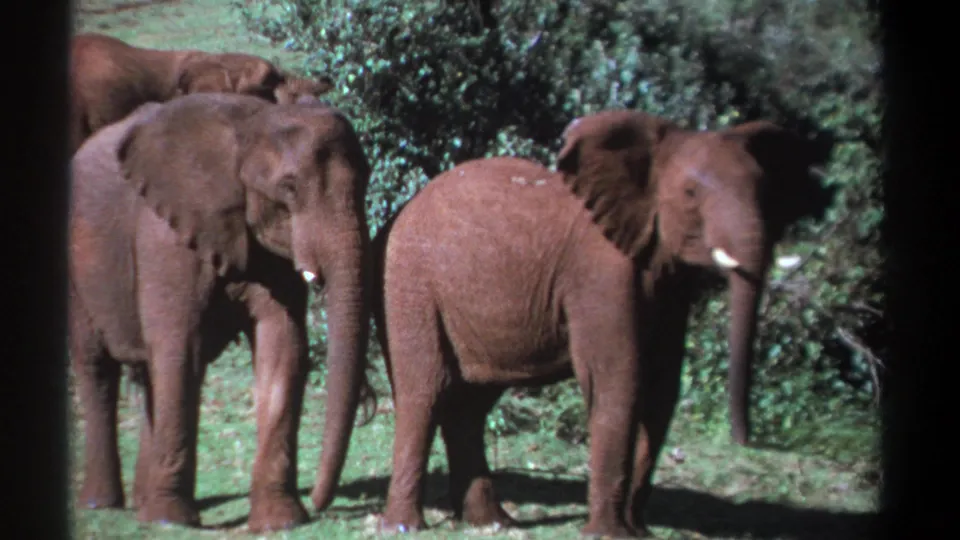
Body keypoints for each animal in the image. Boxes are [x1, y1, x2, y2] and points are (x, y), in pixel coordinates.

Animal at [68, 92, 371, 533]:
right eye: (289, 188)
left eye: (366, 182)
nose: (321, 502)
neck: (253, 124)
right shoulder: (165, 236)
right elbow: (180, 348)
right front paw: (171, 522)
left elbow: (282, 345)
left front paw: (280, 522)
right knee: (98, 368)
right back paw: (104, 504)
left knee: (147, 374)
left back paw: (142, 502)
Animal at [366, 109, 835, 537]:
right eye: (689, 193)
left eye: (766, 192)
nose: (744, 439)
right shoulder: (600, 274)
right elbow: (619, 378)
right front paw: (610, 534)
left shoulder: (668, 283)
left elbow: (662, 388)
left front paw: (638, 532)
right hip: (408, 287)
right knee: (424, 391)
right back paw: (404, 526)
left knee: (470, 406)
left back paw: (492, 523)